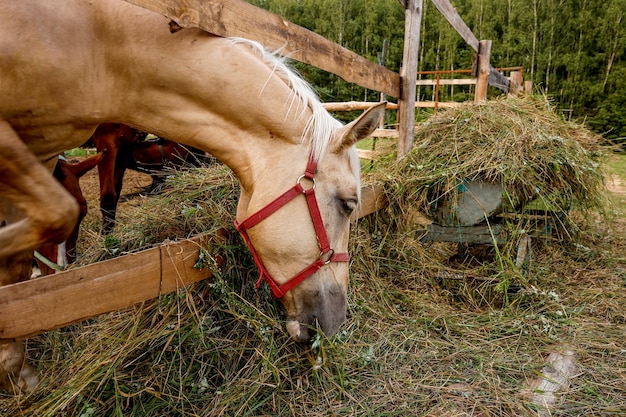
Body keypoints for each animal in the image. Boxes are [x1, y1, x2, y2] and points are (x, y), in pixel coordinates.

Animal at [0, 0, 382, 392]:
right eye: (348, 204)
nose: (336, 321)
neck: (98, 46)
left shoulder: (47, 153)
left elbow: (23, 257)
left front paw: (15, 366)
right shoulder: (99, 146)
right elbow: (70, 212)